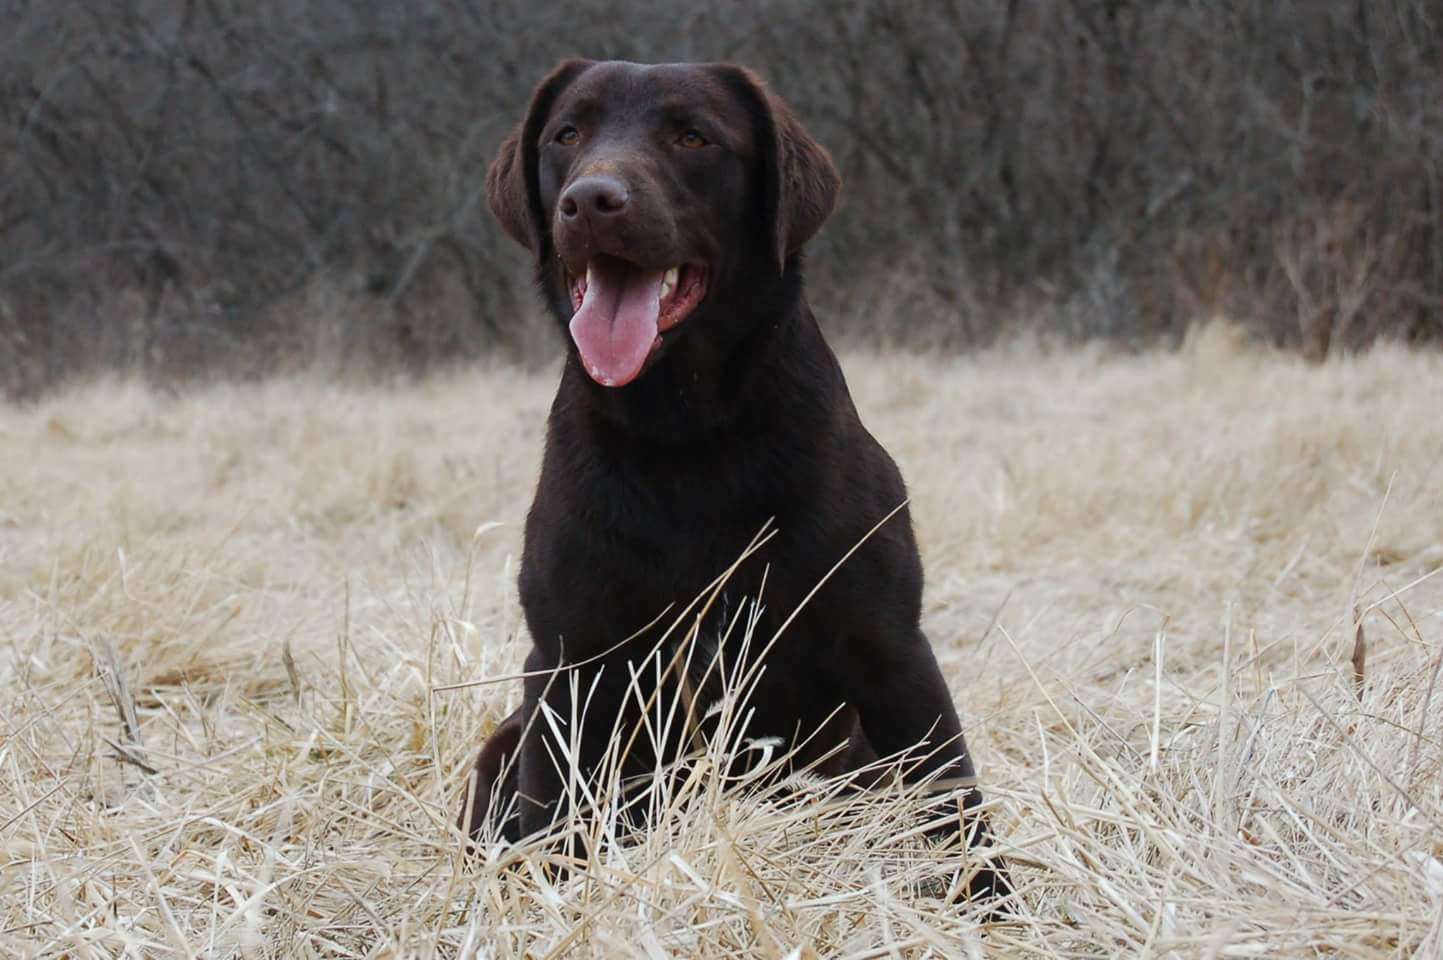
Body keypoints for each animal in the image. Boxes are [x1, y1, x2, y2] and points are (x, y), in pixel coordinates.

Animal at [455, 59, 1010, 906]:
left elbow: (951, 801)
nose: (591, 200)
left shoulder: (890, 649)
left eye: (693, 137)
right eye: (567, 134)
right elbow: (556, 815)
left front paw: (994, 908)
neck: (684, 436)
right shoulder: (568, 665)